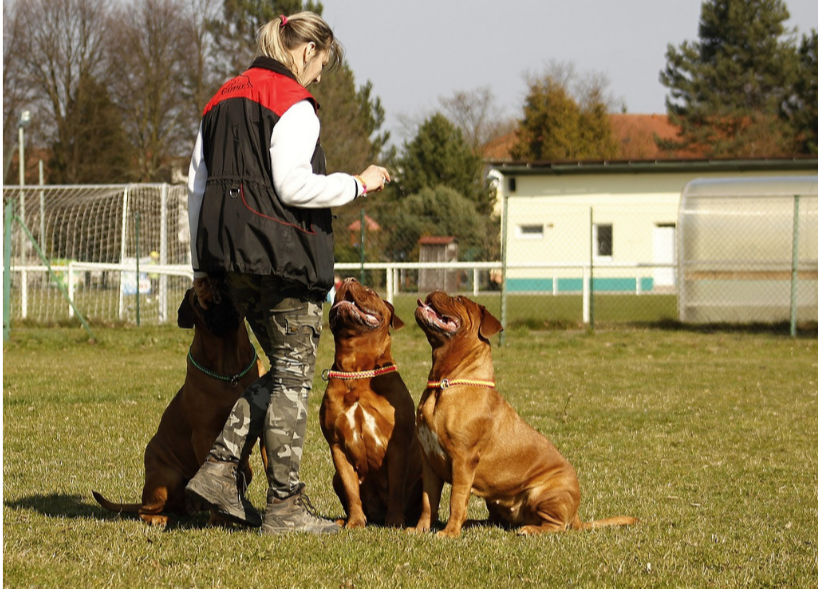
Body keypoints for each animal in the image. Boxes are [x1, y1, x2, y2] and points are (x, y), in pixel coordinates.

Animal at [92, 284, 264, 524]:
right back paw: (160, 518)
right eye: (199, 301)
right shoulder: (203, 435)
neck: (230, 372)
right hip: (168, 477)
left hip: (244, 469)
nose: (219, 303)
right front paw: (219, 517)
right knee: (144, 510)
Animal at [318, 276, 420, 528]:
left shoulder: (397, 446)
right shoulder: (337, 446)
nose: (348, 278)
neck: (357, 370)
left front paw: (395, 521)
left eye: (371, 292)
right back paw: (343, 520)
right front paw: (355, 522)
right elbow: (351, 490)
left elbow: (396, 489)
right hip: (335, 477)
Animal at [412, 292, 636, 536]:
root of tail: (576, 515)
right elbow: (428, 501)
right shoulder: (429, 461)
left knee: (557, 526)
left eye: (459, 300)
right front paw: (420, 529)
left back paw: (529, 529)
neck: (444, 383)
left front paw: (449, 532)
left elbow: (457, 500)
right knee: (498, 521)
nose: (434, 291)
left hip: (544, 492)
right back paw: (474, 523)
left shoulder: (463, 460)